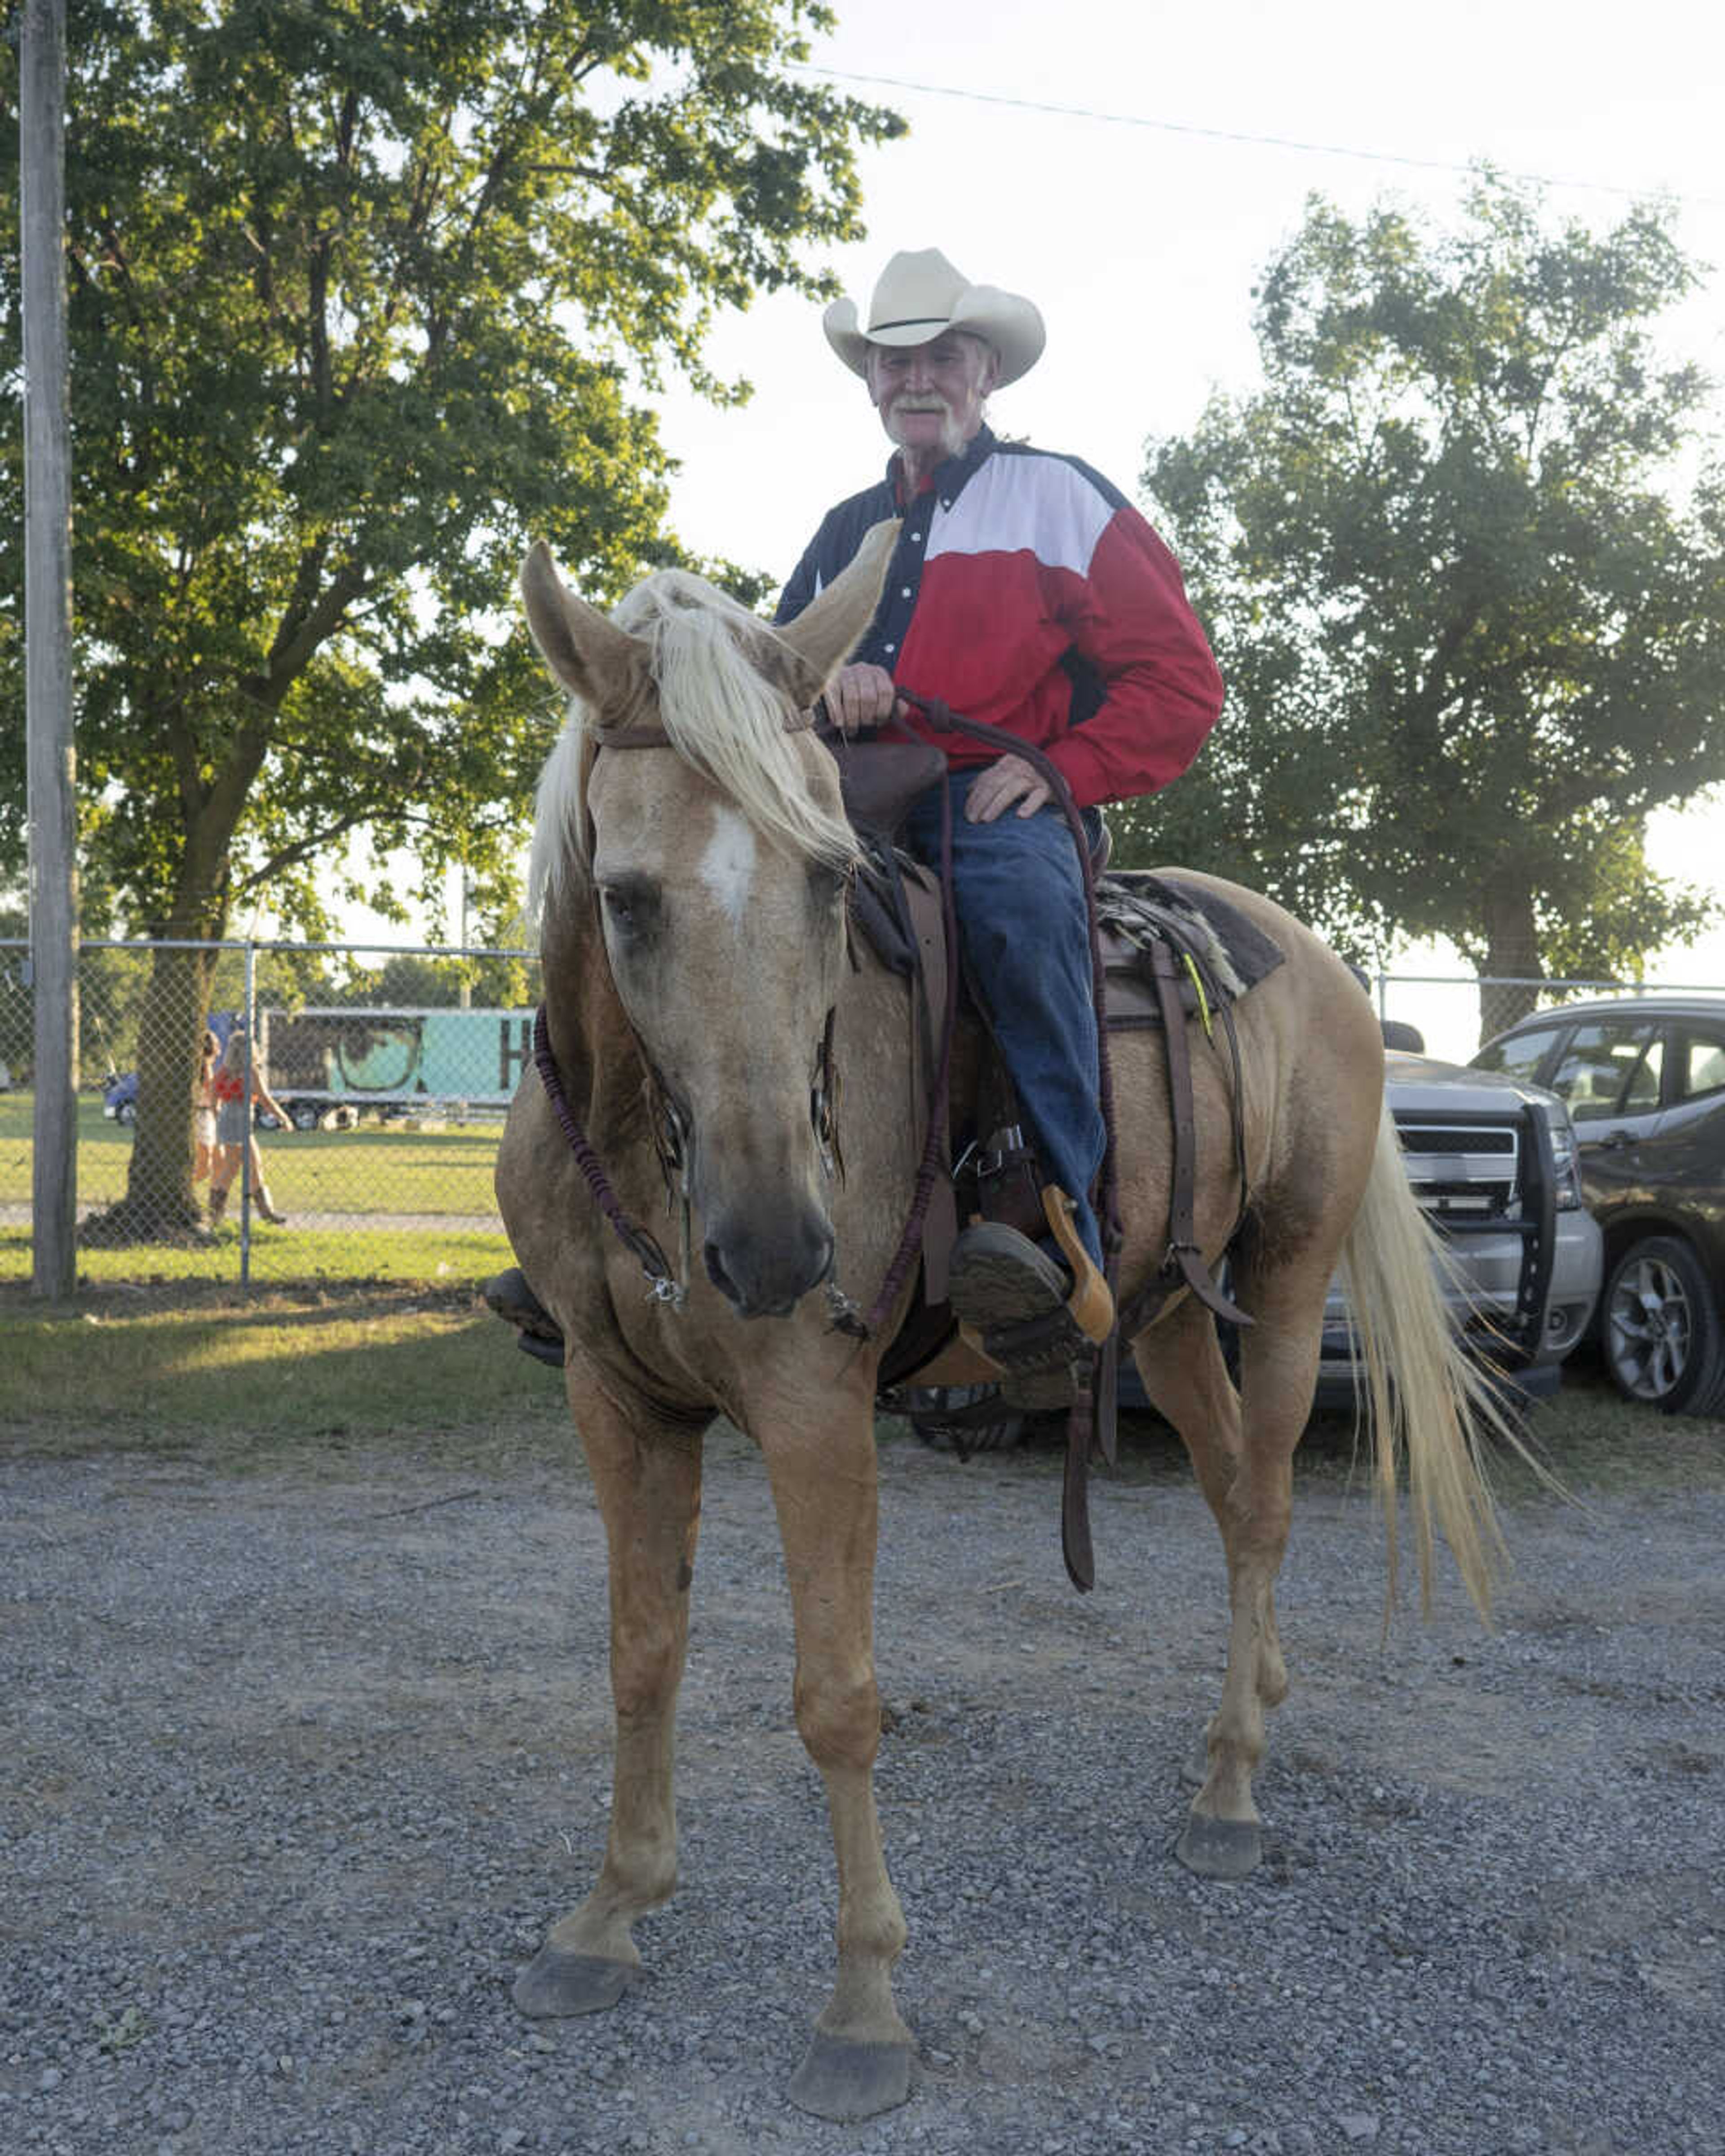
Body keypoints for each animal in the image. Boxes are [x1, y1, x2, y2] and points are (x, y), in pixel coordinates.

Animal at [491, 521, 1500, 2121]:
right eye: (629, 898)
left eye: (829, 883)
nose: (776, 1245)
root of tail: (1324, 965)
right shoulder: (614, 1394)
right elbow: (640, 1653)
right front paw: (607, 1916)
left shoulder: (815, 1407)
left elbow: (836, 1699)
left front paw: (863, 2010)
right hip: (1161, 1311)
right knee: (1230, 1493)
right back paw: (1248, 1719)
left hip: (1283, 1285)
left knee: (1270, 1503)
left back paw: (1229, 1788)